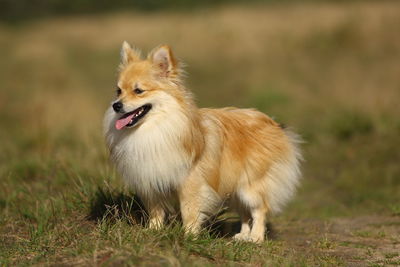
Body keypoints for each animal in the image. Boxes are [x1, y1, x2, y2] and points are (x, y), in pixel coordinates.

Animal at [103, 42, 300, 243]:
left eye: (138, 91)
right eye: (118, 91)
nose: (116, 105)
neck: (155, 128)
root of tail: (273, 123)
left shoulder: (190, 182)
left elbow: (189, 211)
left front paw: (189, 236)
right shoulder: (151, 183)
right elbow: (156, 211)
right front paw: (153, 231)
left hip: (250, 185)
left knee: (259, 210)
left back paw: (256, 238)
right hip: (234, 188)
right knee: (244, 213)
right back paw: (242, 235)